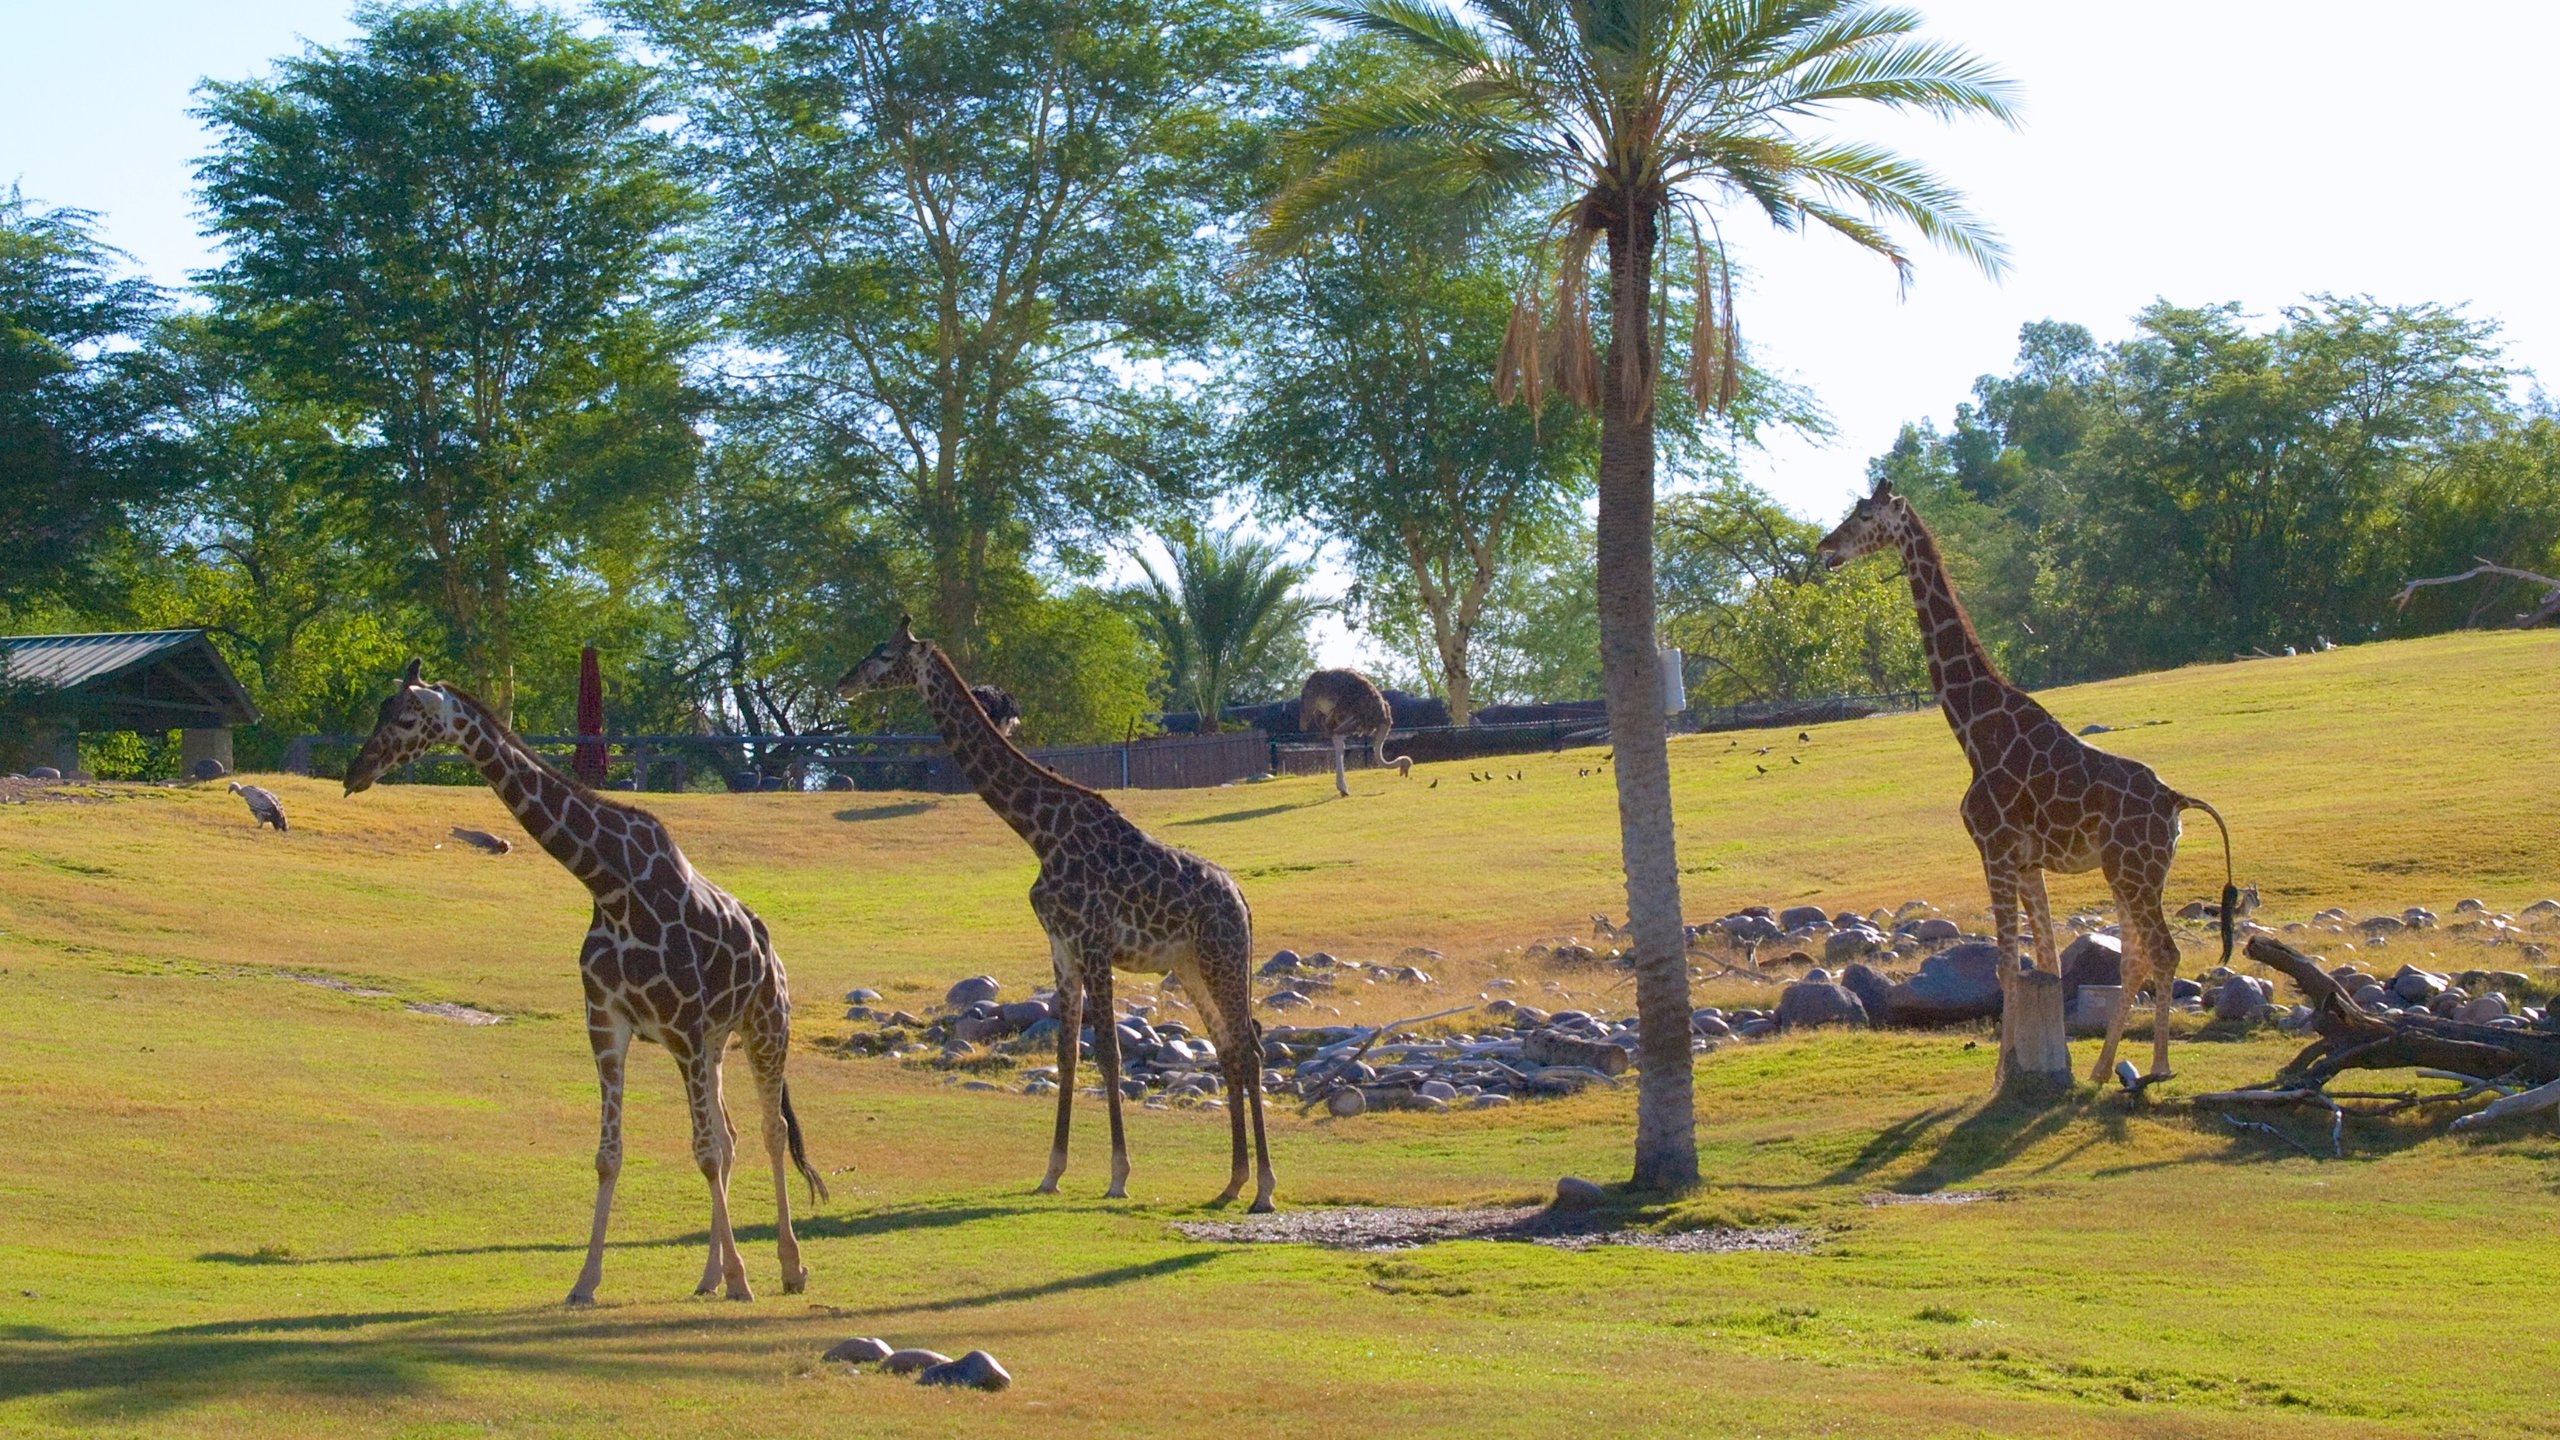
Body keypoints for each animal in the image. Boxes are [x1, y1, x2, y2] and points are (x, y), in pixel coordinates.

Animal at [340, 661, 819, 1301]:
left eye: (406, 718)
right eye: (379, 711)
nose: (355, 771)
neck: (610, 886)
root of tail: (772, 950)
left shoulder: (683, 1026)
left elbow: (704, 1154)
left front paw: (744, 1280)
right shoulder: (610, 1024)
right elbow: (611, 1155)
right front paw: (586, 1281)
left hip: (764, 1026)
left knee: (768, 1131)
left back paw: (789, 1267)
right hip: (715, 1044)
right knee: (734, 1136)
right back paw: (708, 1276)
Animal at [839, 617, 1280, 1209]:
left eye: (886, 655)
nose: (843, 682)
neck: (1039, 831)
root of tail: (1244, 904)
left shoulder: (1094, 942)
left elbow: (1109, 1055)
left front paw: (1118, 1176)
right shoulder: (1062, 947)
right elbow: (1068, 1053)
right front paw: (1051, 1173)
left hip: (1222, 958)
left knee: (1251, 1050)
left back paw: (1264, 1189)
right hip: (1190, 966)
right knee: (1231, 1049)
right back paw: (1231, 1183)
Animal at [1812, 476, 2232, 1081]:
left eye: (1866, 515)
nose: (1826, 548)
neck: (1975, 730)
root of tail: (2177, 802)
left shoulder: (1994, 849)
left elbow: (2009, 967)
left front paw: (2003, 1070)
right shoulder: (2028, 861)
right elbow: (2048, 962)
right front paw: (2043, 1063)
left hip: (2134, 871)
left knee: (2164, 952)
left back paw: (2157, 1066)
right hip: (2129, 873)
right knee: (2135, 957)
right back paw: (2102, 1069)